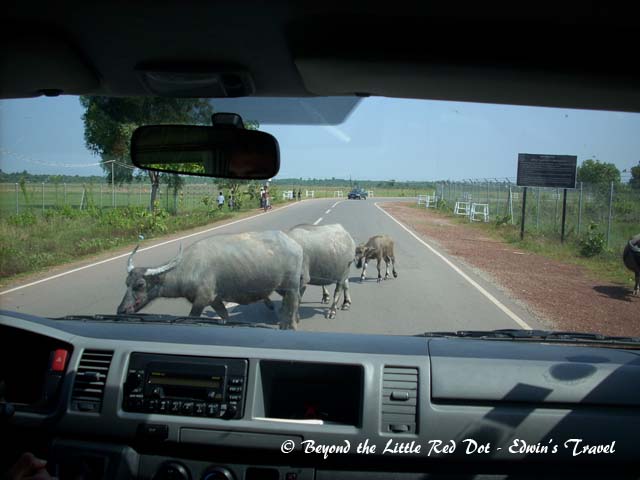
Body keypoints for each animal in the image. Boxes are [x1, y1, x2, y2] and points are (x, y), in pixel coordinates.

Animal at [117, 231, 304, 330]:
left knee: (294, 302)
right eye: (126, 283)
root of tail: (294, 243)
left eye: (140, 284)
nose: (121, 310)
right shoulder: (215, 299)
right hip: (281, 286)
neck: (189, 267)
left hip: (292, 285)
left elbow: (193, 316)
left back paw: (292, 325)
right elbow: (224, 315)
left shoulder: (202, 299)